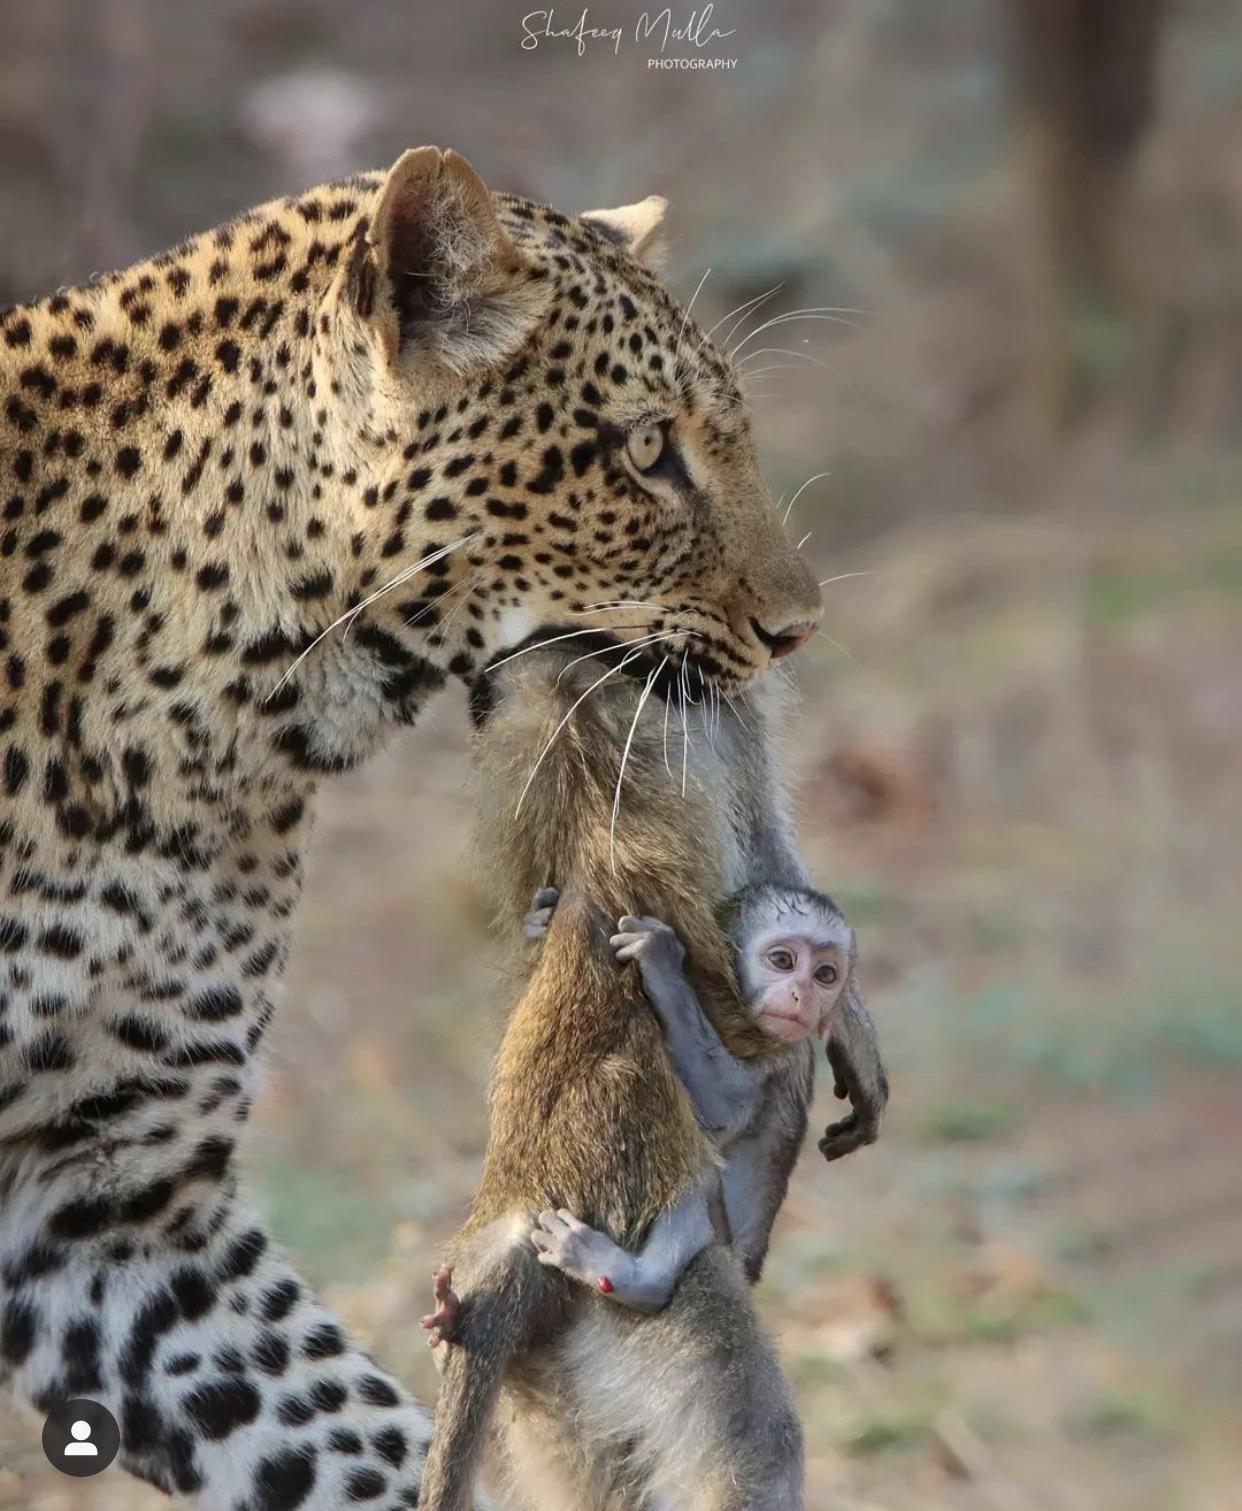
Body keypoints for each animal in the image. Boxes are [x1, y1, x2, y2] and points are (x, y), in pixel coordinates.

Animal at [519, 882, 882, 1317]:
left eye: (825, 974)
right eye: (782, 961)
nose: (803, 995)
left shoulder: (777, 1051)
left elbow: (719, 1113)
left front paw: (662, 967)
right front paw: (539, 920)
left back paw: (634, 1280)